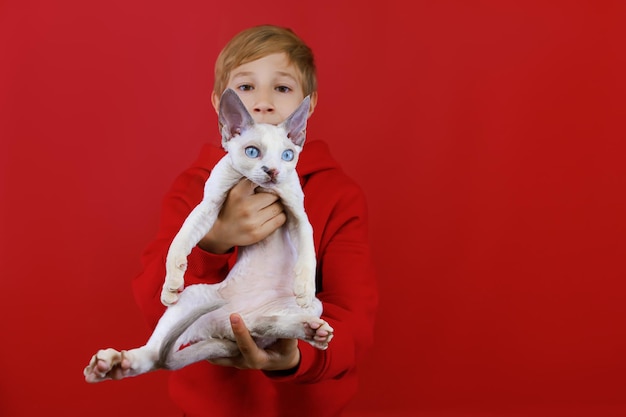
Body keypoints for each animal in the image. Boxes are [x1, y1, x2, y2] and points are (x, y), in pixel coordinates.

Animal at [86, 89, 336, 382]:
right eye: (252, 152)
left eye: (287, 155)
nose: (272, 171)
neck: (259, 188)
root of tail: (227, 325)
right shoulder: (209, 204)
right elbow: (180, 238)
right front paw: (171, 284)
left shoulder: (298, 215)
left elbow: (308, 252)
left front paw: (304, 288)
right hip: (192, 299)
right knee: (154, 355)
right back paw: (113, 364)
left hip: (313, 307)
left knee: (263, 325)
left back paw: (311, 329)